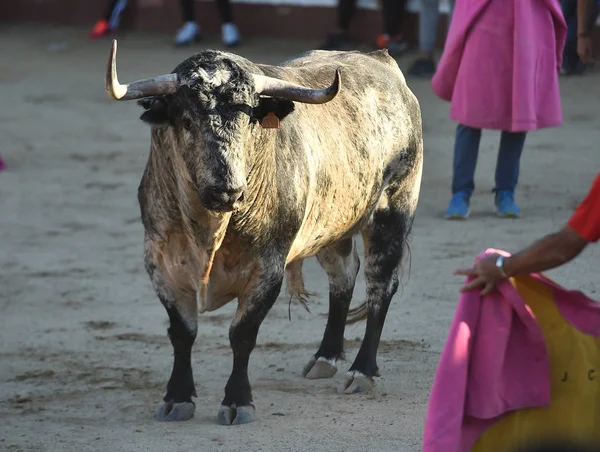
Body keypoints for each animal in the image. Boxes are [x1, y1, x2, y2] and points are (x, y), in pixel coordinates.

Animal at [103, 40, 422, 426]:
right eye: (187, 120)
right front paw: (177, 397)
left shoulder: (267, 268)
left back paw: (361, 371)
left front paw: (237, 401)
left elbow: (242, 334)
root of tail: (382, 63)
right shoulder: (161, 264)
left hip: (393, 210)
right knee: (343, 276)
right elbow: (182, 333)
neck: (209, 231)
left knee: (380, 286)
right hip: (333, 224)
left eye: (249, 120)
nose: (227, 190)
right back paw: (325, 357)